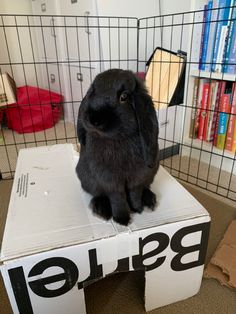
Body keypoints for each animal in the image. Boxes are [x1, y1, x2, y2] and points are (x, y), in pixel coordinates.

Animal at [76, 68, 159, 226]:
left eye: (124, 97)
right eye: (92, 92)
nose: (94, 119)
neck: (117, 138)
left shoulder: (138, 175)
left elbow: (134, 192)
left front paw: (137, 209)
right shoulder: (109, 179)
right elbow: (117, 197)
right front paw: (122, 219)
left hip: (151, 174)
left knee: (145, 187)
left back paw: (149, 200)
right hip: (87, 179)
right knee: (99, 194)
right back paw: (101, 209)